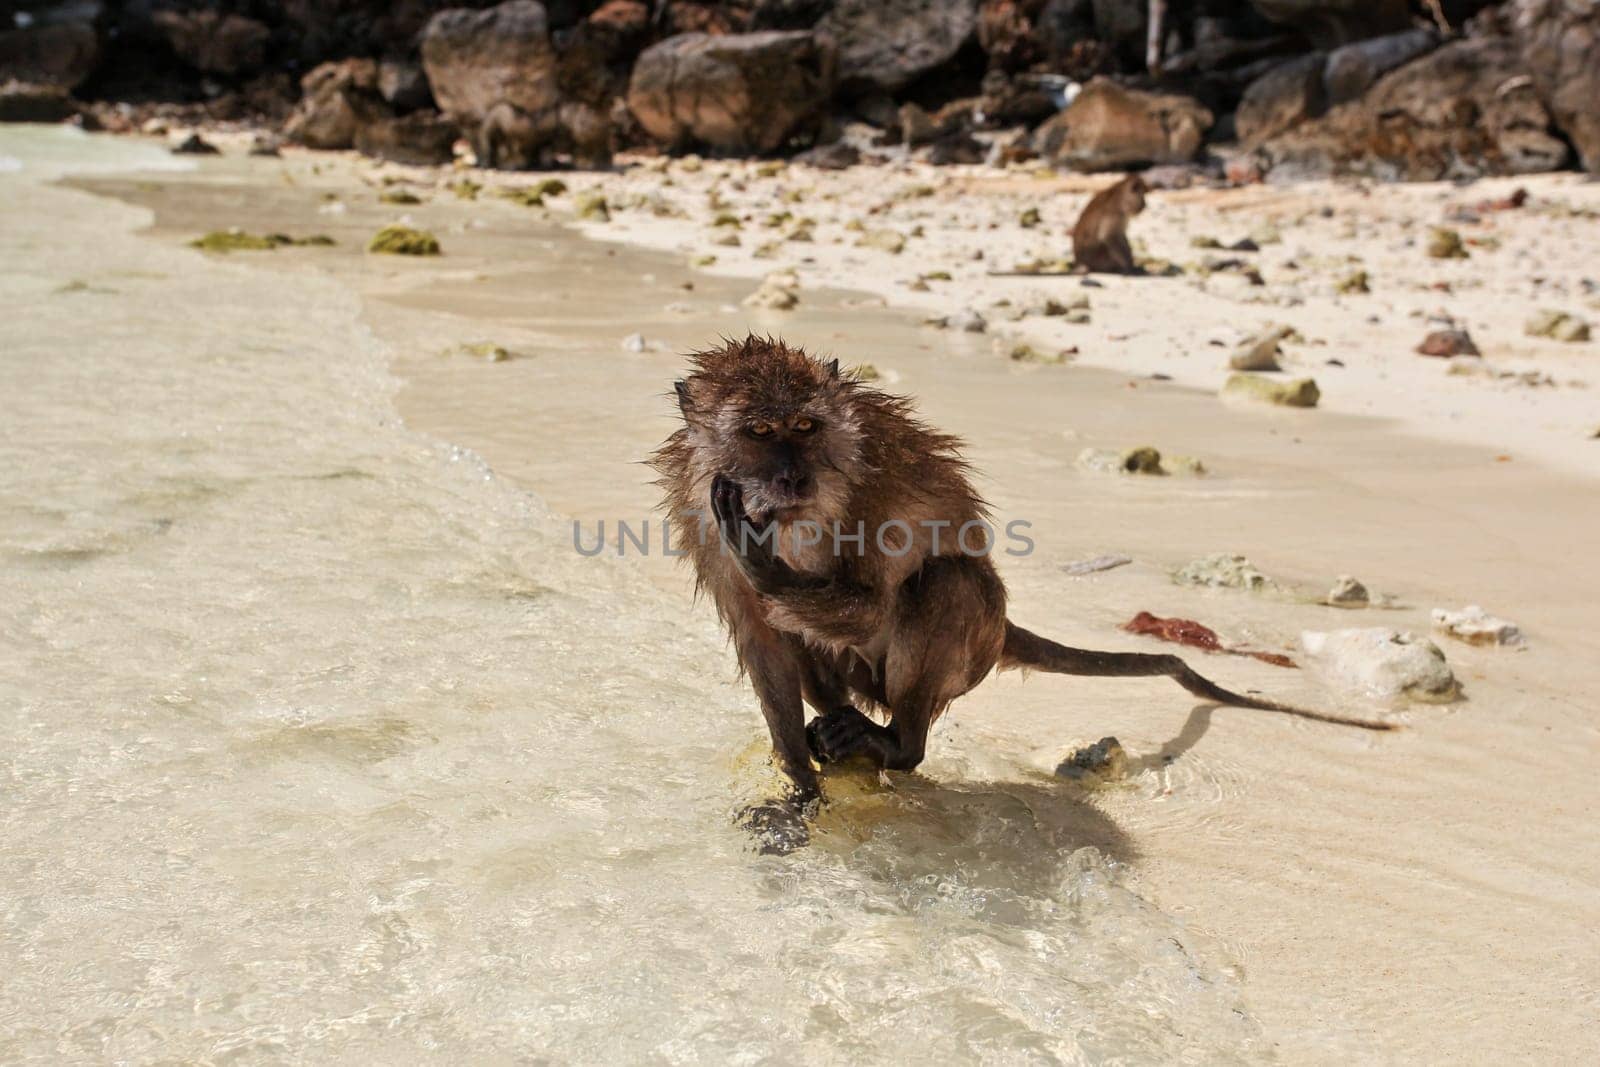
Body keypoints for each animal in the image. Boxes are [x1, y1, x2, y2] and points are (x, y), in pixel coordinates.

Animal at [649, 337, 1388, 857]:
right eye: (759, 432)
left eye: (804, 426)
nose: (793, 479)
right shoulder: (699, 510)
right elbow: (763, 638)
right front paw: (799, 791)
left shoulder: (864, 494)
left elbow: (870, 604)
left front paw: (762, 558)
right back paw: (839, 725)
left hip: (964, 655)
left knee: (946, 584)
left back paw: (897, 743)